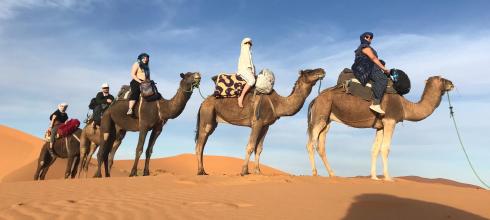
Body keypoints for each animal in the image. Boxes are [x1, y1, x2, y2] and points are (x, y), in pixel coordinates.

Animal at [194, 69, 326, 175]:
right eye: (308, 72)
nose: (322, 70)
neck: (278, 104)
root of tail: (203, 103)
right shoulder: (257, 122)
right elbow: (250, 146)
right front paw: (244, 171)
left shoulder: (265, 125)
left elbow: (259, 148)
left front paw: (258, 171)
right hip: (207, 115)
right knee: (200, 144)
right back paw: (200, 171)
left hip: (213, 121)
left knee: (202, 144)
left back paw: (203, 170)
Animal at [306, 75, 456, 180]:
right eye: (441, 78)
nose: (452, 83)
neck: (405, 106)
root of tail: (315, 99)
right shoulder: (390, 121)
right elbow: (385, 149)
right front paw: (388, 178)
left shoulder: (380, 126)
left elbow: (375, 150)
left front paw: (374, 177)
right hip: (321, 114)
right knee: (311, 143)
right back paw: (314, 173)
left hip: (327, 120)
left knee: (321, 145)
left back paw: (333, 174)